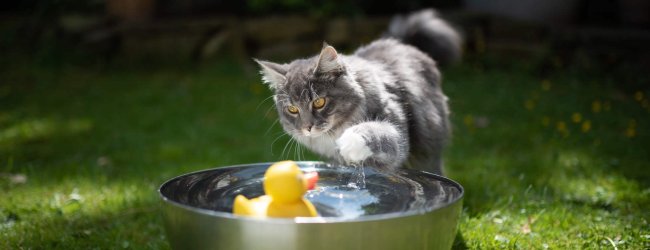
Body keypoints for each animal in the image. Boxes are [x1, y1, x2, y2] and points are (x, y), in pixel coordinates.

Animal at [253, 8, 460, 175]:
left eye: (319, 102)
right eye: (293, 109)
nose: (307, 127)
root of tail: (400, 42)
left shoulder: (398, 136)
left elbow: (378, 132)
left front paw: (350, 141)